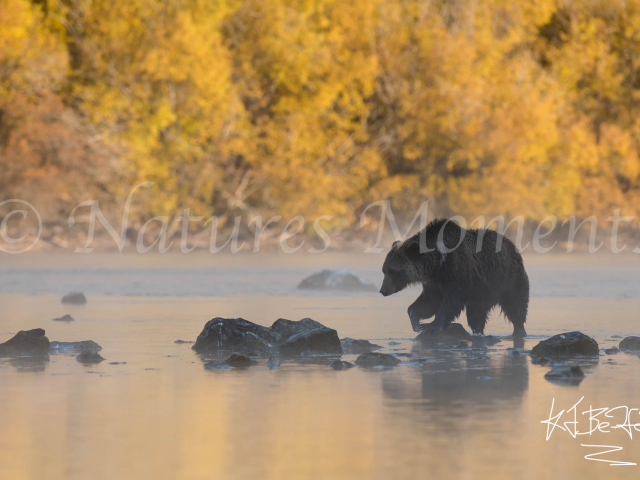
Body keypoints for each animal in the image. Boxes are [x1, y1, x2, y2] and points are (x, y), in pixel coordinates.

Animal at [379, 218, 529, 337]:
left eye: (392, 271)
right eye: (384, 270)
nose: (382, 290)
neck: (438, 263)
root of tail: (513, 246)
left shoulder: (458, 272)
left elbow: (451, 302)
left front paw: (430, 325)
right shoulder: (435, 281)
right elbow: (429, 301)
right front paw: (416, 321)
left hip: (507, 279)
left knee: (515, 305)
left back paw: (519, 331)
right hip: (482, 292)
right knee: (476, 314)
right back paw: (478, 331)